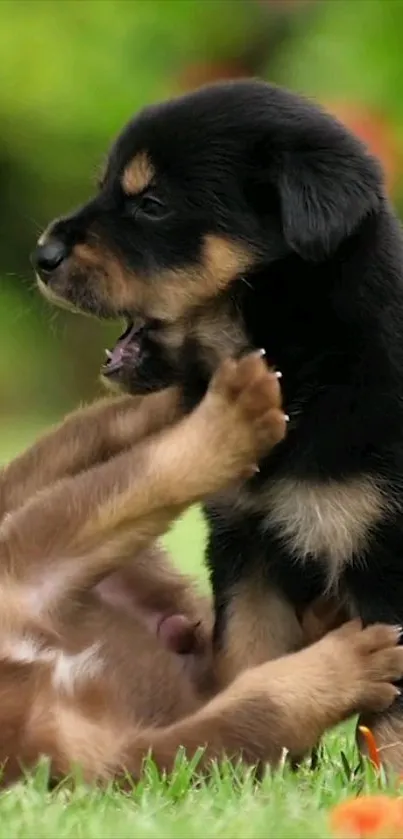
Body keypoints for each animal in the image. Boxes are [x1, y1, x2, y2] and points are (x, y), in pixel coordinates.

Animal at [0, 352, 400, 784]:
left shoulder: (31, 564)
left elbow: (144, 477)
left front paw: (227, 425)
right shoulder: (118, 758)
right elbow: (255, 711)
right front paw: (353, 664)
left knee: (93, 433)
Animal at [32, 82, 403, 772]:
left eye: (152, 205)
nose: (41, 256)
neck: (306, 367)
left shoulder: (387, 555)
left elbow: (391, 717)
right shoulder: (247, 545)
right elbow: (245, 656)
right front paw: (256, 773)